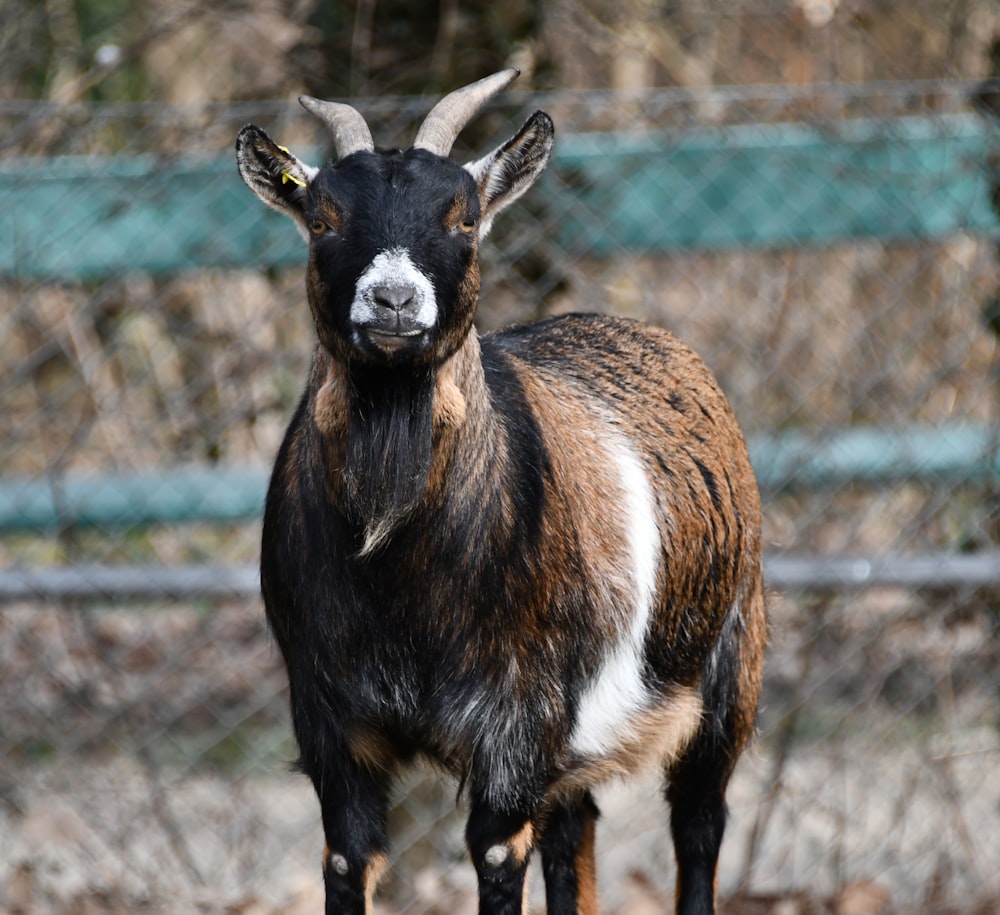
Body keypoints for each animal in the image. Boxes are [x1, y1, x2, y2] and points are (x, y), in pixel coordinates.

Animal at [236, 70, 764, 915]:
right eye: (323, 217)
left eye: (466, 217)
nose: (393, 301)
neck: (402, 578)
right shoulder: (330, 720)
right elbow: (349, 859)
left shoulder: (516, 725)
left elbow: (494, 853)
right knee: (575, 828)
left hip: (729, 669)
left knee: (700, 825)